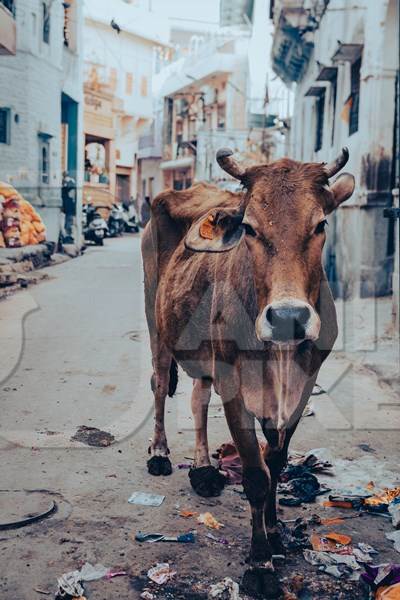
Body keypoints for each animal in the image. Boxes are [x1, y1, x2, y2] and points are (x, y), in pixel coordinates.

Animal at [141, 148, 354, 568]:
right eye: (251, 228)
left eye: (320, 224)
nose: (288, 317)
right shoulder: (234, 387)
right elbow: (256, 475)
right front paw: (260, 559)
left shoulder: (301, 389)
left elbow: (276, 462)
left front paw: (274, 531)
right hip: (156, 322)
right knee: (159, 384)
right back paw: (159, 453)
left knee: (198, 397)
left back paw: (205, 469)